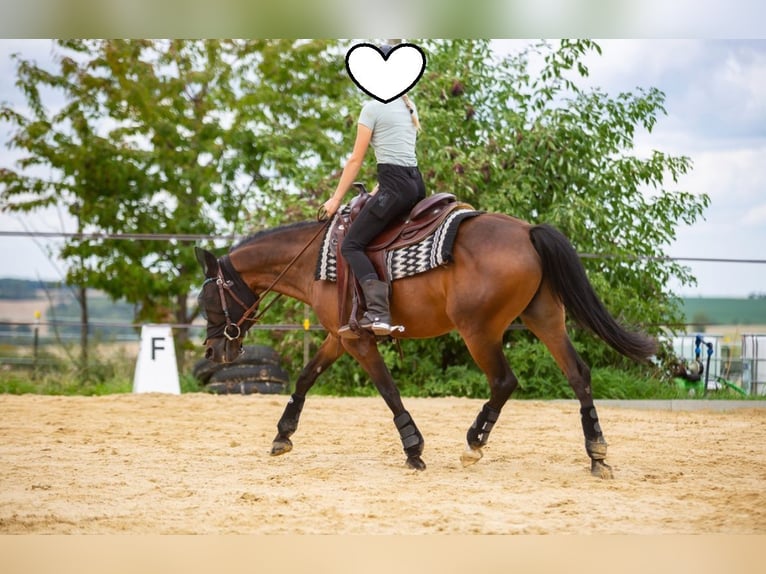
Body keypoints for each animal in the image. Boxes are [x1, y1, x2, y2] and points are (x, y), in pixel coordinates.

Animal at [195, 208, 657, 478]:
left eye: (206, 300)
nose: (214, 352)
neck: (316, 260)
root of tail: (527, 231)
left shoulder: (359, 342)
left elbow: (388, 391)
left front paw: (413, 449)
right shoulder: (341, 336)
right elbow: (307, 377)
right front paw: (282, 435)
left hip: (479, 331)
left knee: (504, 381)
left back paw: (475, 443)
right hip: (544, 318)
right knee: (578, 374)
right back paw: (596, 453)